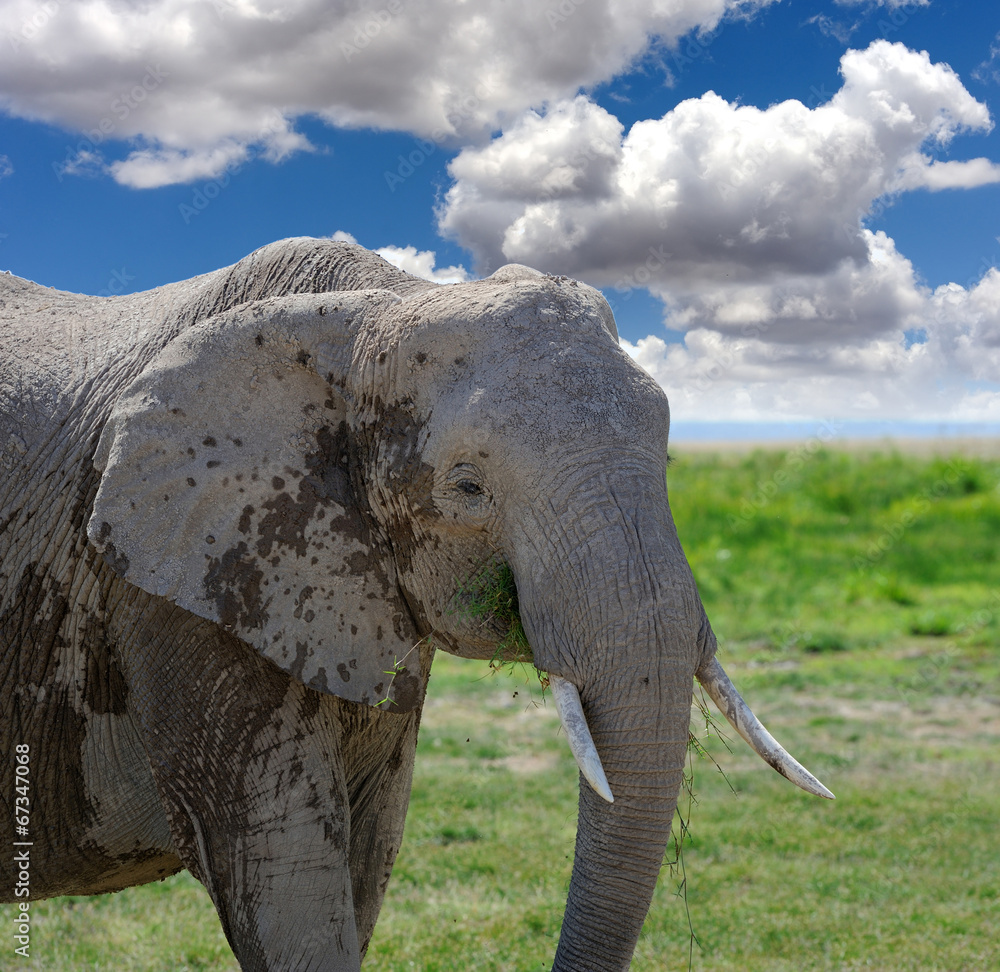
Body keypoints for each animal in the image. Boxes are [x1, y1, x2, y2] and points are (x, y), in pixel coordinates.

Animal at [0, 237, 832, 971]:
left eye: (665, 454)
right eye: (467, 486)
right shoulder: (180, 586)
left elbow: (366, 862)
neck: (377, 305)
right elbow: (283, 878)